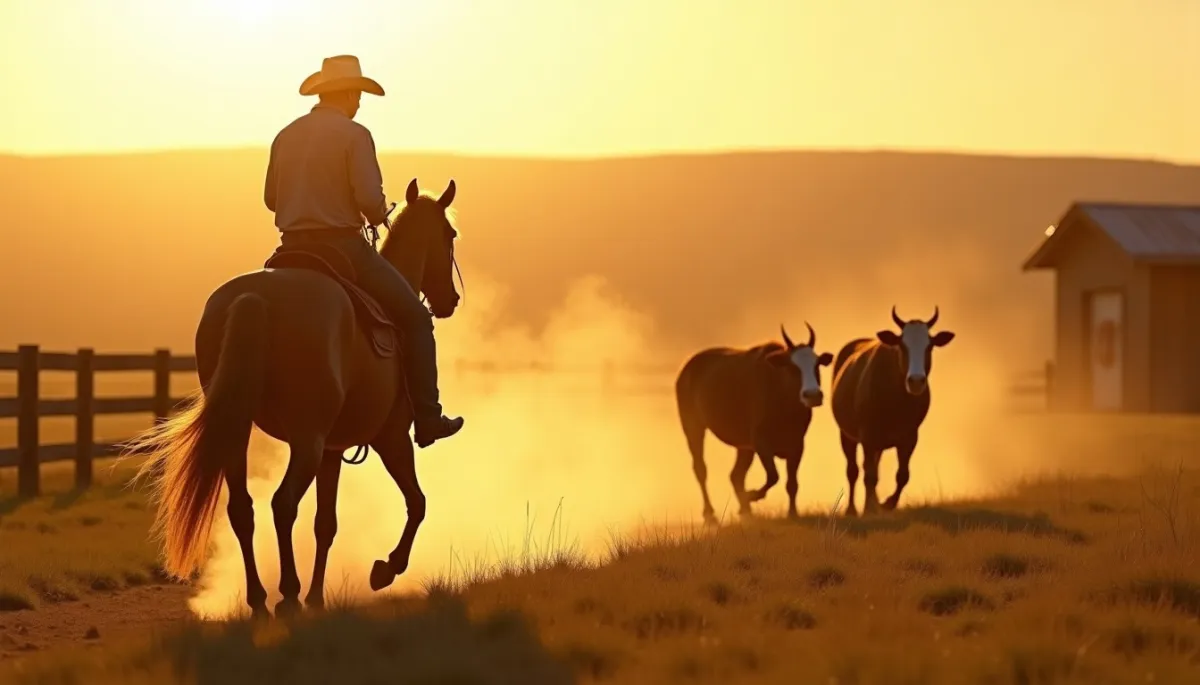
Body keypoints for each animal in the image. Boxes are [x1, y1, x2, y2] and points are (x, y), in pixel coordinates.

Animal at [125, 178, 462, 619]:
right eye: (450, 235)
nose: (451, 301)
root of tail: (254, 299)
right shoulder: (390, 438)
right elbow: (417, 503)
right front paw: (385, 569)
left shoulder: (334, 450)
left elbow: (325, 524)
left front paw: (318, 597)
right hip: (306, 441)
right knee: (282, 504)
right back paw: (287, 594)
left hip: (238, 432)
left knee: (243, 509)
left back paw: (259, 601)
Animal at [675, 323, 833, 524]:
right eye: (792, 366)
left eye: (817, 364)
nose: (812, 395)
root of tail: (686, 370)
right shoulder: (760, 442)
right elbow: (774, 476)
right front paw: (752, 495)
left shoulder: (797, 444)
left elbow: (792, 483)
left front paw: (792, 512)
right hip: (693, 426)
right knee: (701, 468)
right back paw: (710, 513)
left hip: (743, 446)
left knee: (735, 475)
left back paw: (745, 511)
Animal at [829, 306, 955, 516]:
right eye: (902, 346)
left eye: (929, 346)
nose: (916, 381)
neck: (896, 401)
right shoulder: (867, 434)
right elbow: (868, 474)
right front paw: (868, 509)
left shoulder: (910, 435)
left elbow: (902, 475)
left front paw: (886, 504)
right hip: (846, 434)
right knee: (854, 470)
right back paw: (852, 509)